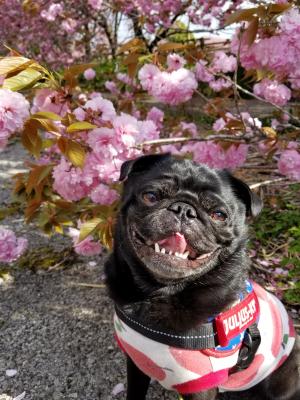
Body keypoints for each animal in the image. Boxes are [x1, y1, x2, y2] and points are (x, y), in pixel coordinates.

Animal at [104, 153, 298, 400]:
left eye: (219, 215)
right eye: (151, 196)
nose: (184, 209)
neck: (156, 294)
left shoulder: (201, 385)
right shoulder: (137, 361)